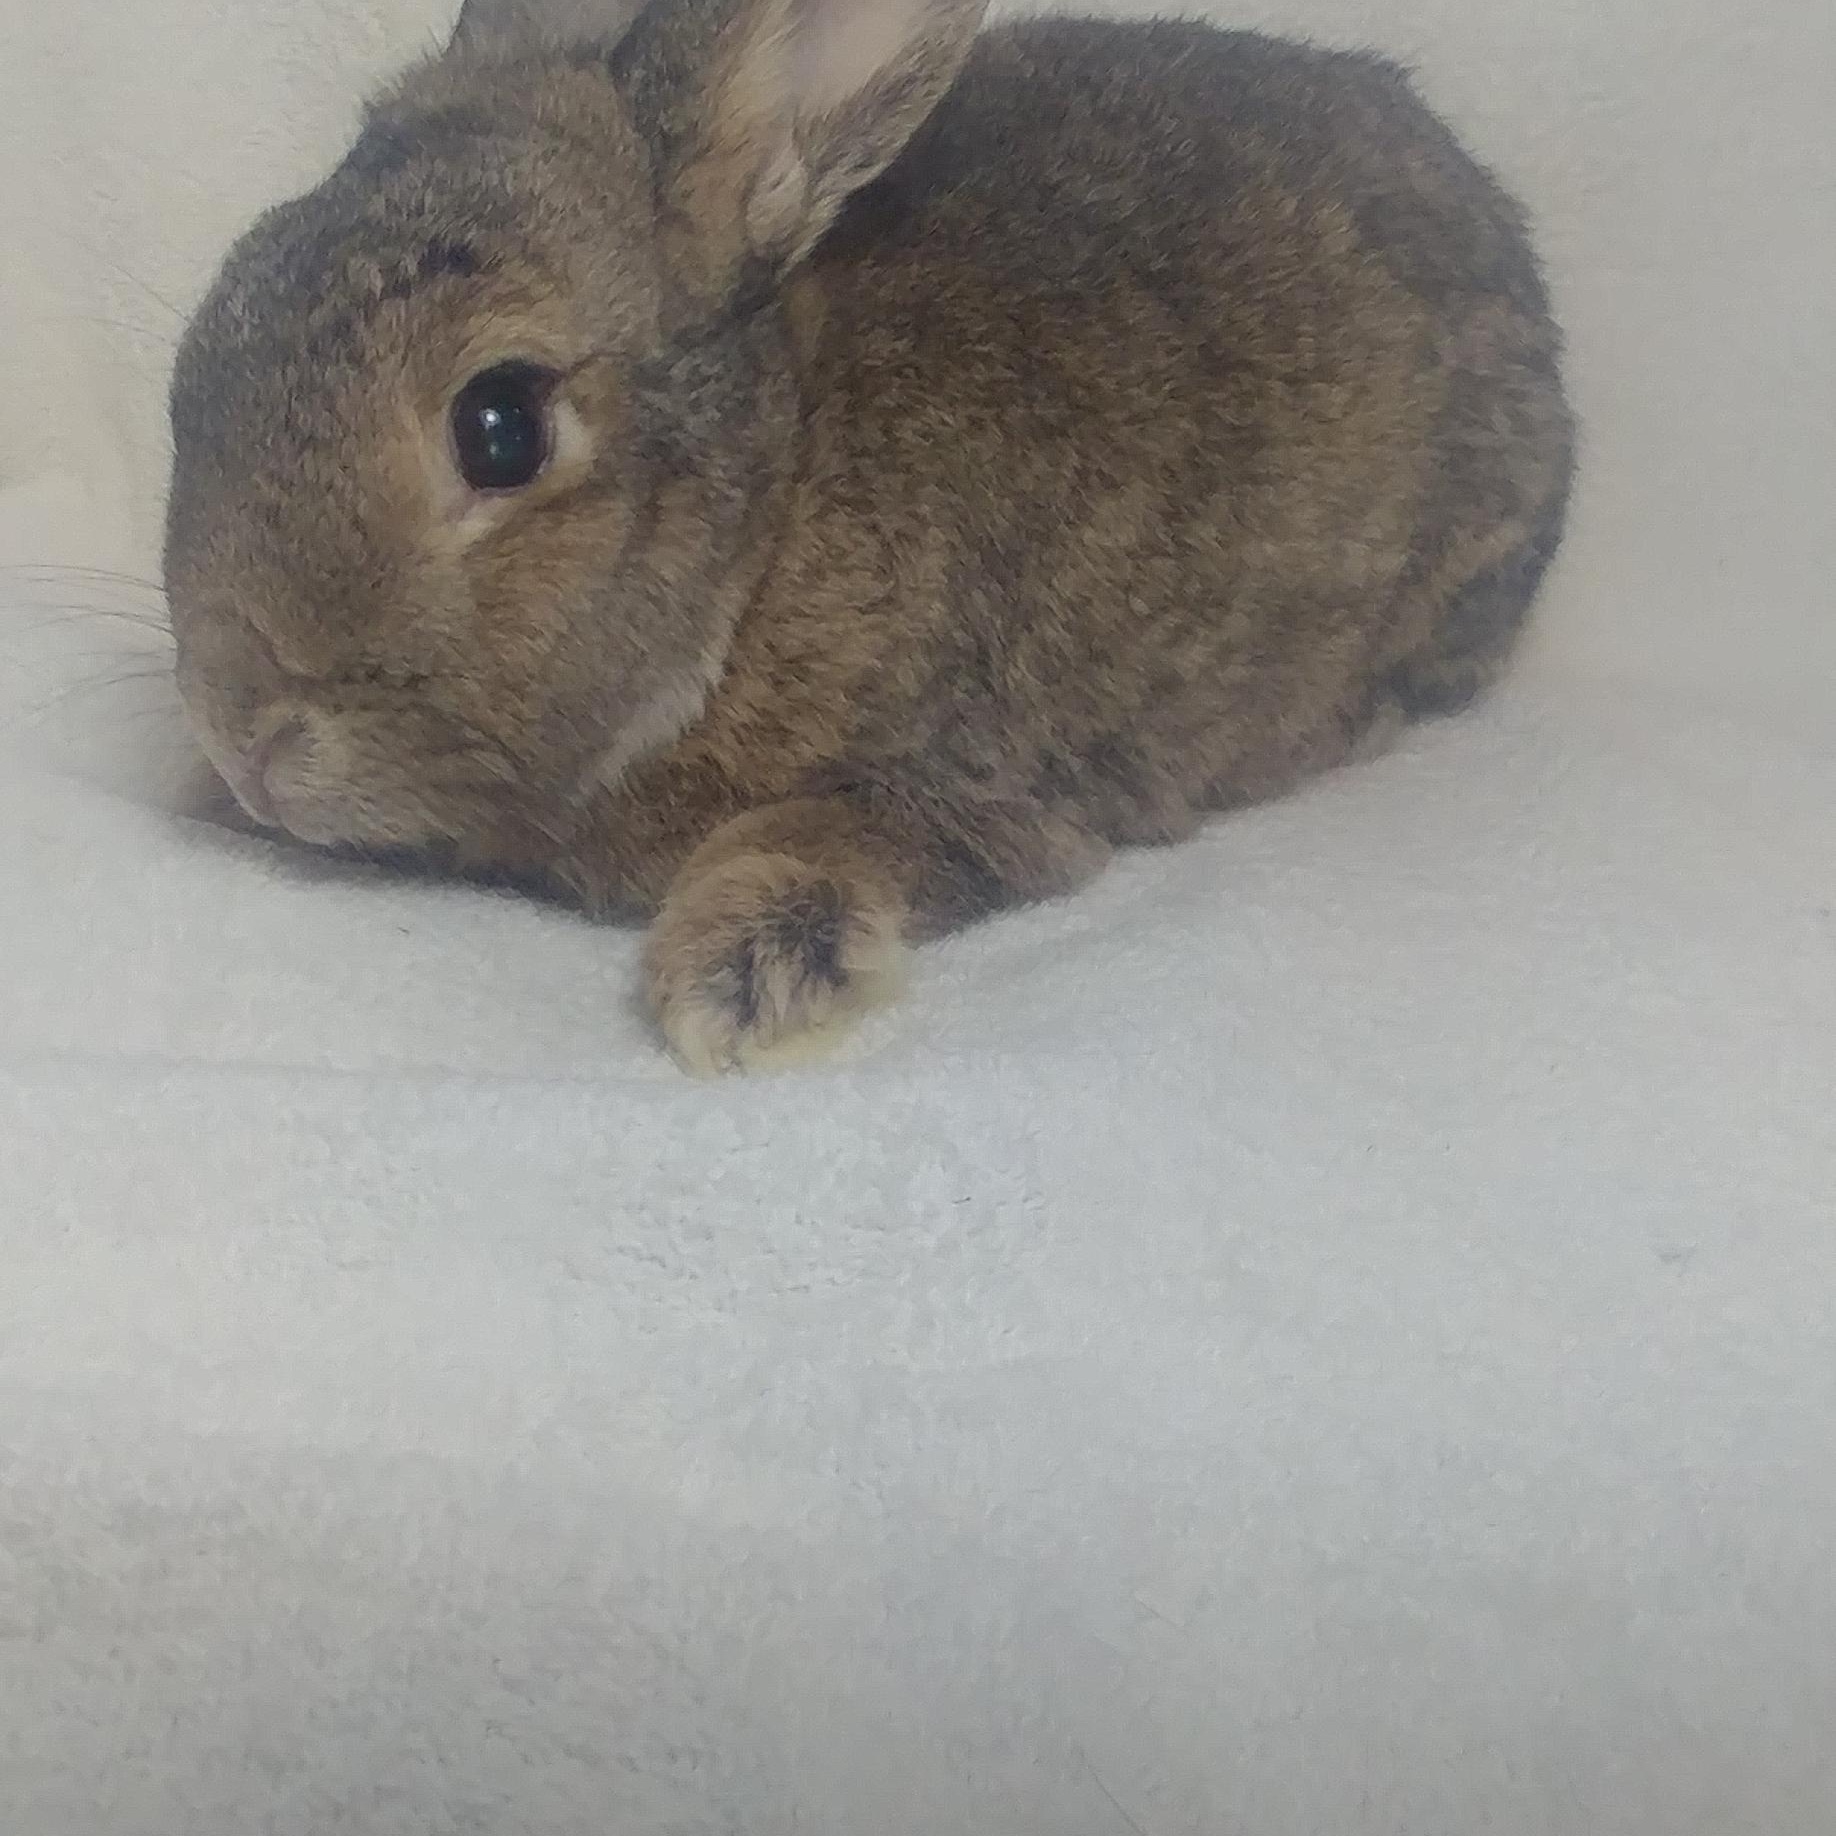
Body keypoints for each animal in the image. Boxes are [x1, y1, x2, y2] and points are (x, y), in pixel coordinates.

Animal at [165, 0, 1575, 1074]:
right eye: (218, 310)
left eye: (500, 427)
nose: (241, 736)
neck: (767, 528)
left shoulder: (980, 789)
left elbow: (819, 840)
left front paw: (735, 989)